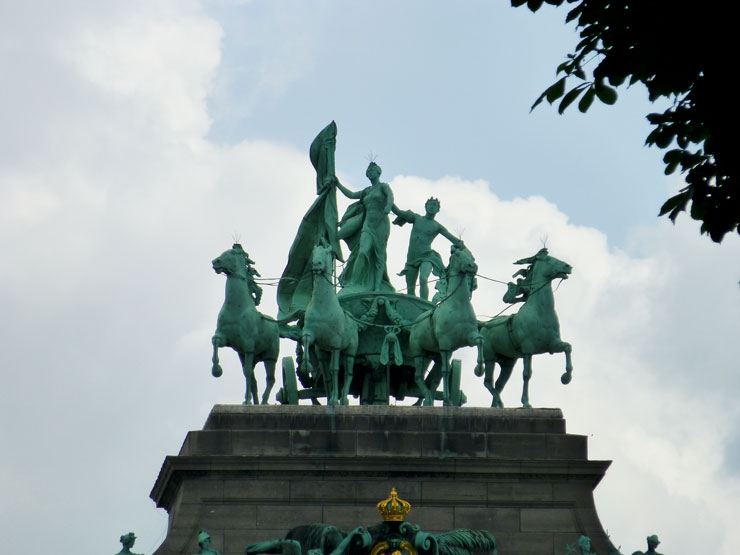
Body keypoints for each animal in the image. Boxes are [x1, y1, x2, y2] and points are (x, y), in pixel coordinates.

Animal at [211, 245, 280, 406]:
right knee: (254, 380)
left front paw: (247, 400)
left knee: (270, 379)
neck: (236, 308)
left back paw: (264, 401)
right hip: (248, 356)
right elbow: (215, 342)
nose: (215, 262)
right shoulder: (229, 341)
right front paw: (216, 370)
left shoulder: (248, 347)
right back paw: (256, 402)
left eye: (233, 253)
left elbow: (247, 373)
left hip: (270, 357)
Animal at [408, 245, 482, 406]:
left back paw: (427, 399)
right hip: (419, 353)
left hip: (431, 355)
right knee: (418, 377)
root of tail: (416, 323)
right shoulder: (445, 345)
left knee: (432, 379)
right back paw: (427, 398)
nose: (472, 266)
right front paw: (448, 399)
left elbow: (480, 341)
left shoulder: (469, 337)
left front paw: (479, 369)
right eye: (458, 254)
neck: (458, 304)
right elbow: (446, 371)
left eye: (471, 255)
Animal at [476, 248, 576, 408]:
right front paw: (526, 402)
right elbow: (527, 374)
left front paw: (566, 377)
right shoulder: (528, 350)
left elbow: (568, 348)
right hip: (490, 358)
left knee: (498, 385)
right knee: (488, 382)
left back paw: (497, 405)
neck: (540, 311)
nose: (568, 267)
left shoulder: (553, 345)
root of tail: (484, 326)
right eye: (549, 259)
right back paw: (499, 403)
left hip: (508, 363)